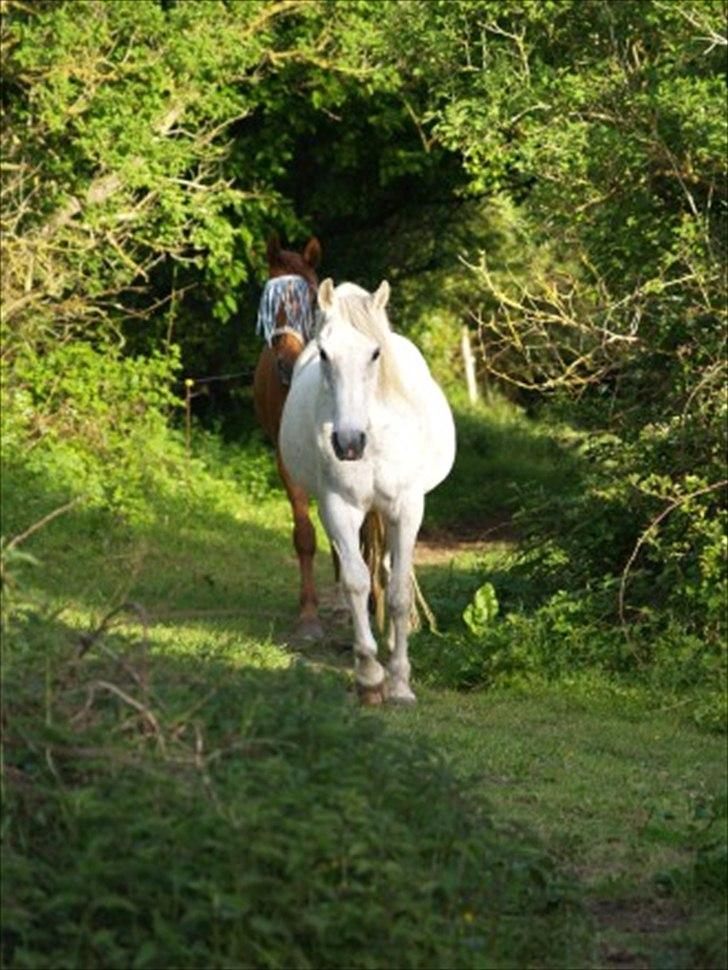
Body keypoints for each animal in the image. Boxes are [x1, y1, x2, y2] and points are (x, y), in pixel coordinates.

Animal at [278, 280, 456, 704]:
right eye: (325, 353)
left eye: (375, 353)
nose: (348, 443)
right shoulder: (338, 507)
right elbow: (357, 582)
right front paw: (370, 677)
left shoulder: (407, 509)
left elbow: (398, 592)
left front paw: (401, 683)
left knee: (392, 573)